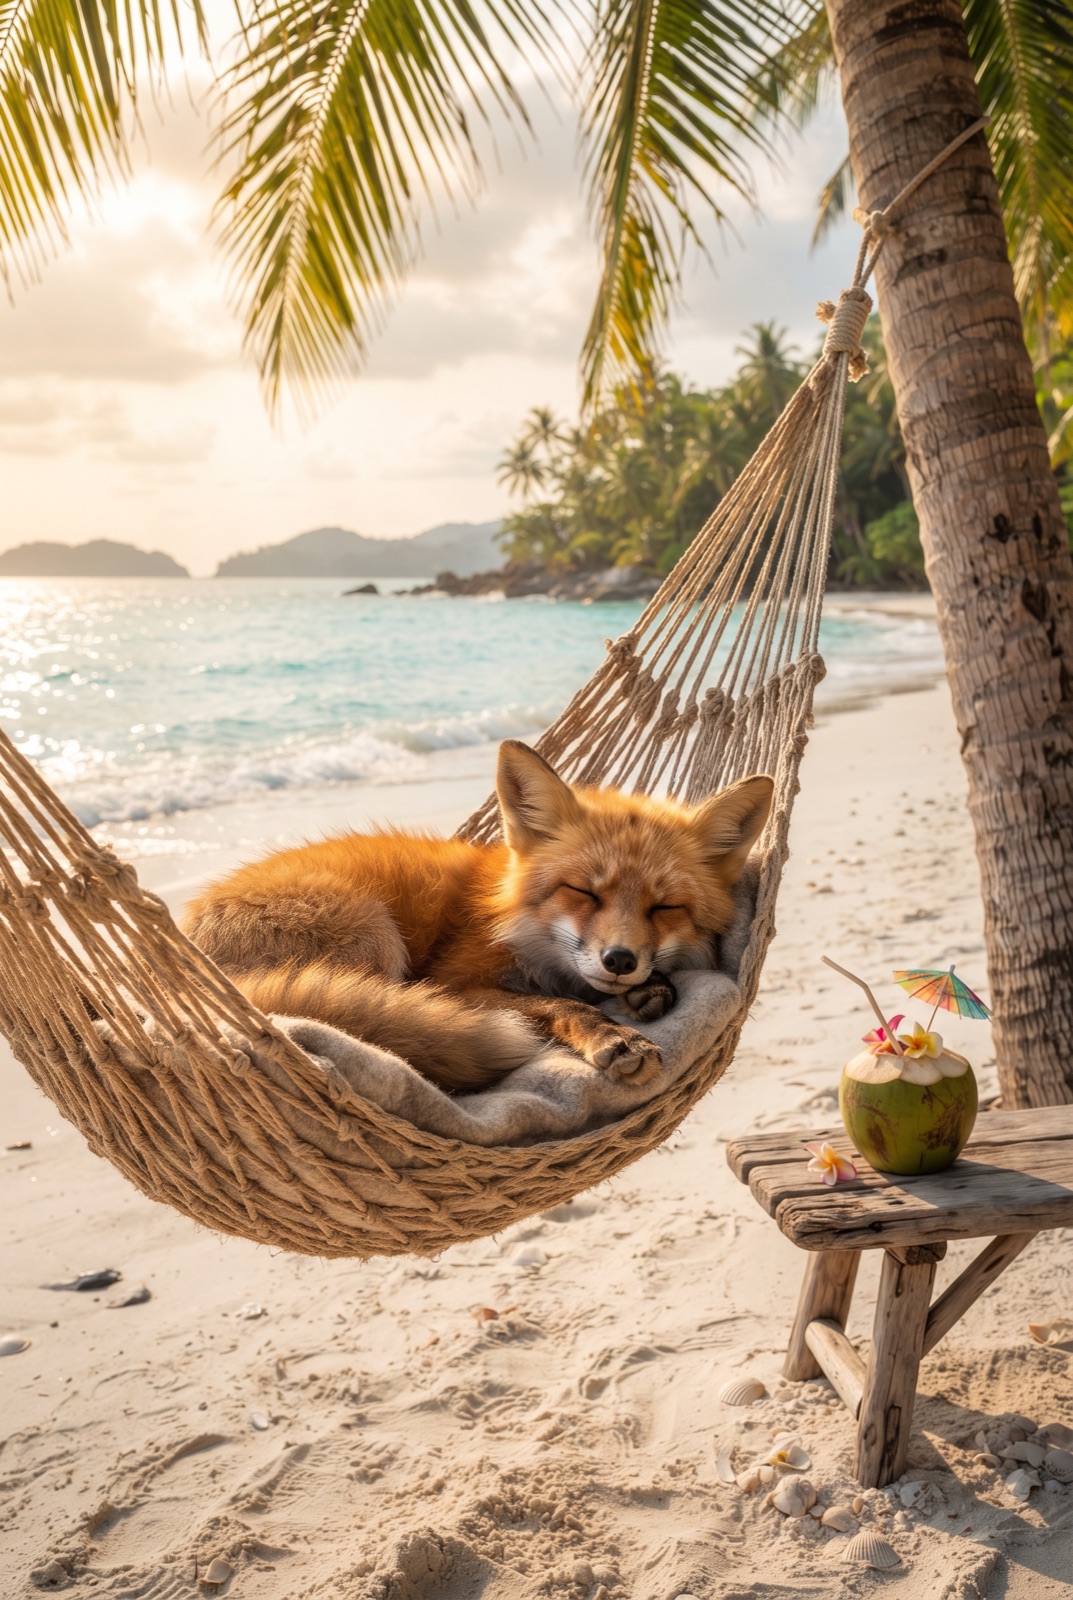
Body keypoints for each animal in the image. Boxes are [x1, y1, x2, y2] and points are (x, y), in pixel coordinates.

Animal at [181, 741, 773, 1094]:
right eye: (582, 892)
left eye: (665, 907)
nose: (621, 960)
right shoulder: (453, 982)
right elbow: (557, 1004)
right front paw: (611, 1031)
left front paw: (648, 990)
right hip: (373, 932)